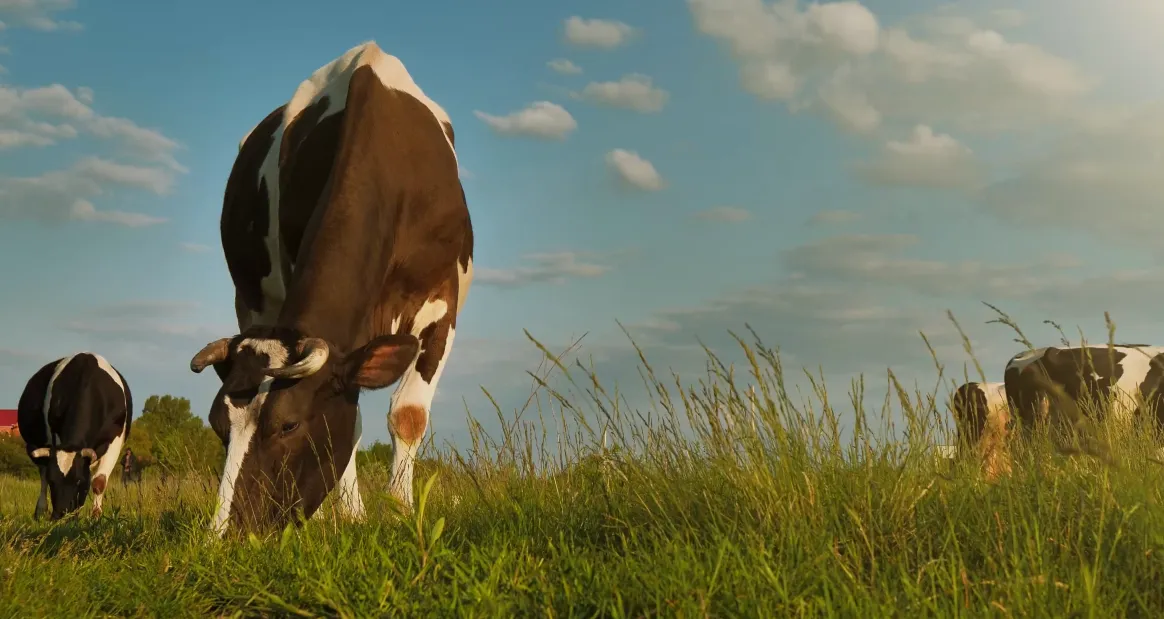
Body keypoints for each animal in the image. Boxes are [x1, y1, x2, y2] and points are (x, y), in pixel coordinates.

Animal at [16, 352, 133, 520]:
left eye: (79, 481)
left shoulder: (115, 442)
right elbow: (46, 476)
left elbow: (99, 481)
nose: (60, 516)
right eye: (53, 481)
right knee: (42, 476)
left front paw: (96, 517)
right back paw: (40, 510)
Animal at [188, 41, 473, 536]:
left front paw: (401, 510)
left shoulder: (443, 301)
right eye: (219, 425)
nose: (222, 537)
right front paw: (349, 514)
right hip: (250, 298)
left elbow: (408, 415)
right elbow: (353, 422)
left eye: (288, 425)